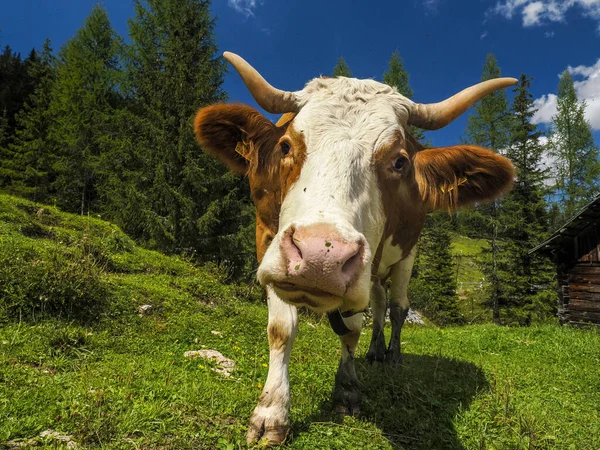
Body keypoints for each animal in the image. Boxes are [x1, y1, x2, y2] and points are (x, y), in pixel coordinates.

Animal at [193, 51, 516, 444]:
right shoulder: (266, 240)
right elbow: (281, 328)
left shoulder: (373, 260)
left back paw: (392, 357)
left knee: (396, 306)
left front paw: (347, 390)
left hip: (405, 253)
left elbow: (350, 329)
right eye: (286, 145)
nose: (320, 257)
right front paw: (271, 412)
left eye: (400, 161)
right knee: (378, 302)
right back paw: (375, 351)